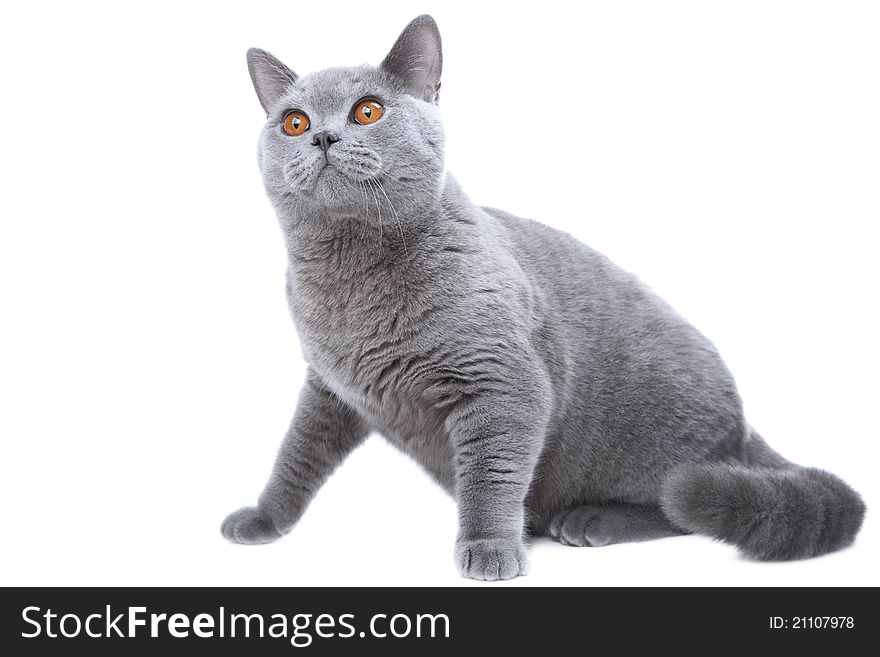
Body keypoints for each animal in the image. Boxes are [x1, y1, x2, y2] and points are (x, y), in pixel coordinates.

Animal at [222, 14, 868, 580]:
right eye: (294, 122)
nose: (324, 135)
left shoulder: (502, 382)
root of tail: (744, 427)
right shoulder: (330, 388)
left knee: (679, 501)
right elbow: (297, 454)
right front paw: (264, 519)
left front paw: (488, 549)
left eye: (368, 111)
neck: (349, 278)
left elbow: (492, 473)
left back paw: (589, 520)